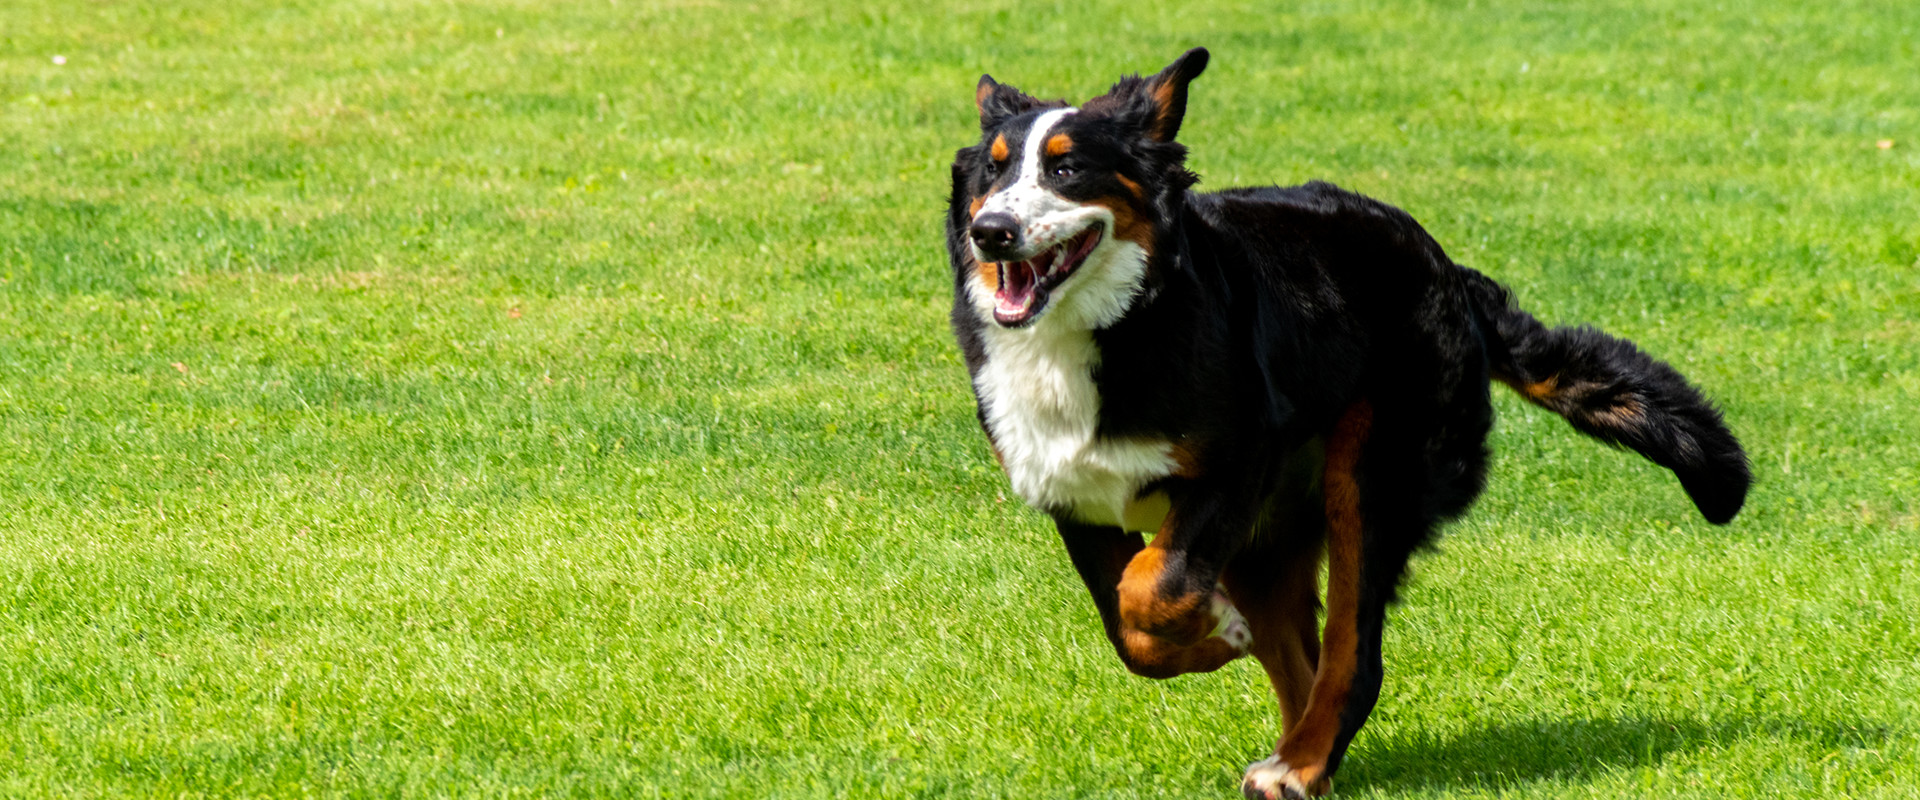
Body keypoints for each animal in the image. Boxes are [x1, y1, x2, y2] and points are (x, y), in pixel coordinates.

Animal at [944, 49, 1758, 798]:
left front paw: (1217, 628)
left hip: (1371, 479)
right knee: (1300, 661)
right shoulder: (1073, 493)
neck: (1112, 327)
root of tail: (1449, 272)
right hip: (1271, 536)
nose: (991, 232)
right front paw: (1215, 632)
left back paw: (1300, 763)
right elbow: (1130, 630)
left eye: (1067, 169)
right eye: (990, 175)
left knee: (1351, 658)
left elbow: (1154, 589)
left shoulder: (1238, 462)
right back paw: (1301, 756)